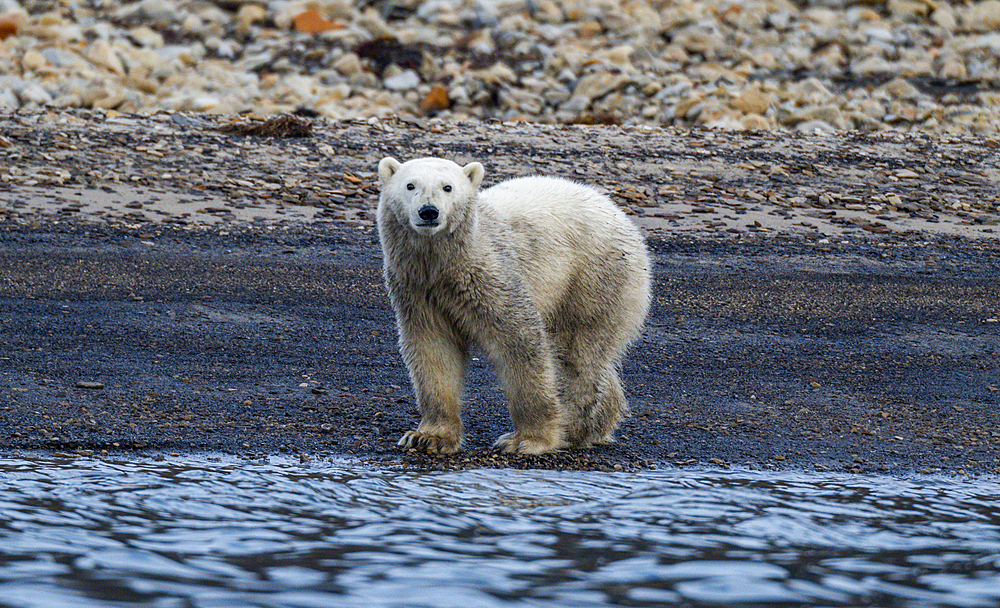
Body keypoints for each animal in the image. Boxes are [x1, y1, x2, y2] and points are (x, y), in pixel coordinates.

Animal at [376, 158, 648, 456]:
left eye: (448, 187)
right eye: (410, 185)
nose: (429, 211)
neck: (446, 264)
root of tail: (622, 217)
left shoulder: (492, 276)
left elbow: (520, 342)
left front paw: (527, 440)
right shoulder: (417, 290)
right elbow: (433, 350)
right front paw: (428, 436)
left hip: (594, 278)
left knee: (578, 354)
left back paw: (574, 428)